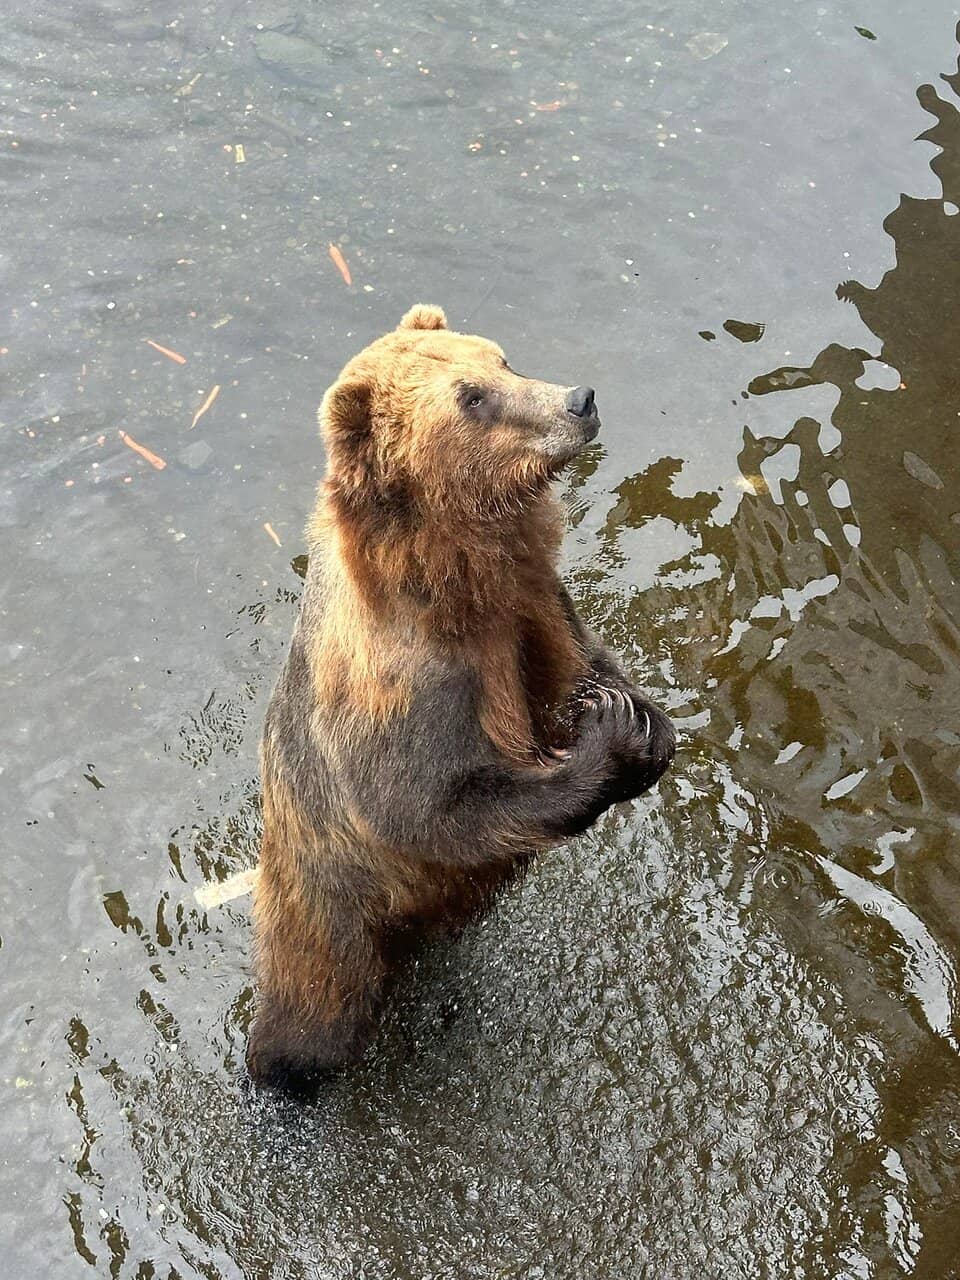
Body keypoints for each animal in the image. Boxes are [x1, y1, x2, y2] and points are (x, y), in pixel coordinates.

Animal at [246, 305, 675, 1090]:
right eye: (470, 398)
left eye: (501, 358)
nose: (579, 399)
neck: (454, 581)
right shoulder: (405, 687)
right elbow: (429, 806)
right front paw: (610, 739)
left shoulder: (534, 607)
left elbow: (580, 661)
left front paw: (641, 715)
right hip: (323, 923)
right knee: (314, 1020)